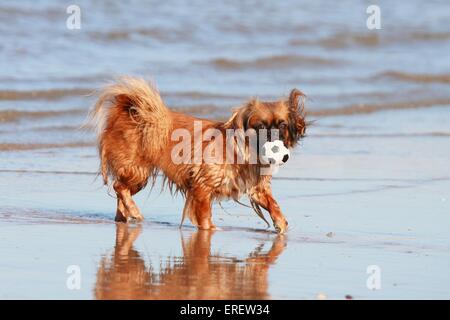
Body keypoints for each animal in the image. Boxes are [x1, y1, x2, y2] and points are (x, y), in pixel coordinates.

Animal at [89, 76, 308, 234]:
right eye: (261, 127)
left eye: (282, 125)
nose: (274, 138)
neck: (244, 151)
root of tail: (130, 112)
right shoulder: (202, 187)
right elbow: (204, 216)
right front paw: (209, 230)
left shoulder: (257, 189)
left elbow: (273, 204)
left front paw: (281, 223)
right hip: (138, 170)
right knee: (119, 187)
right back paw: (134, 211)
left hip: (138, 178)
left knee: (121, 195)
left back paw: (125, 217)